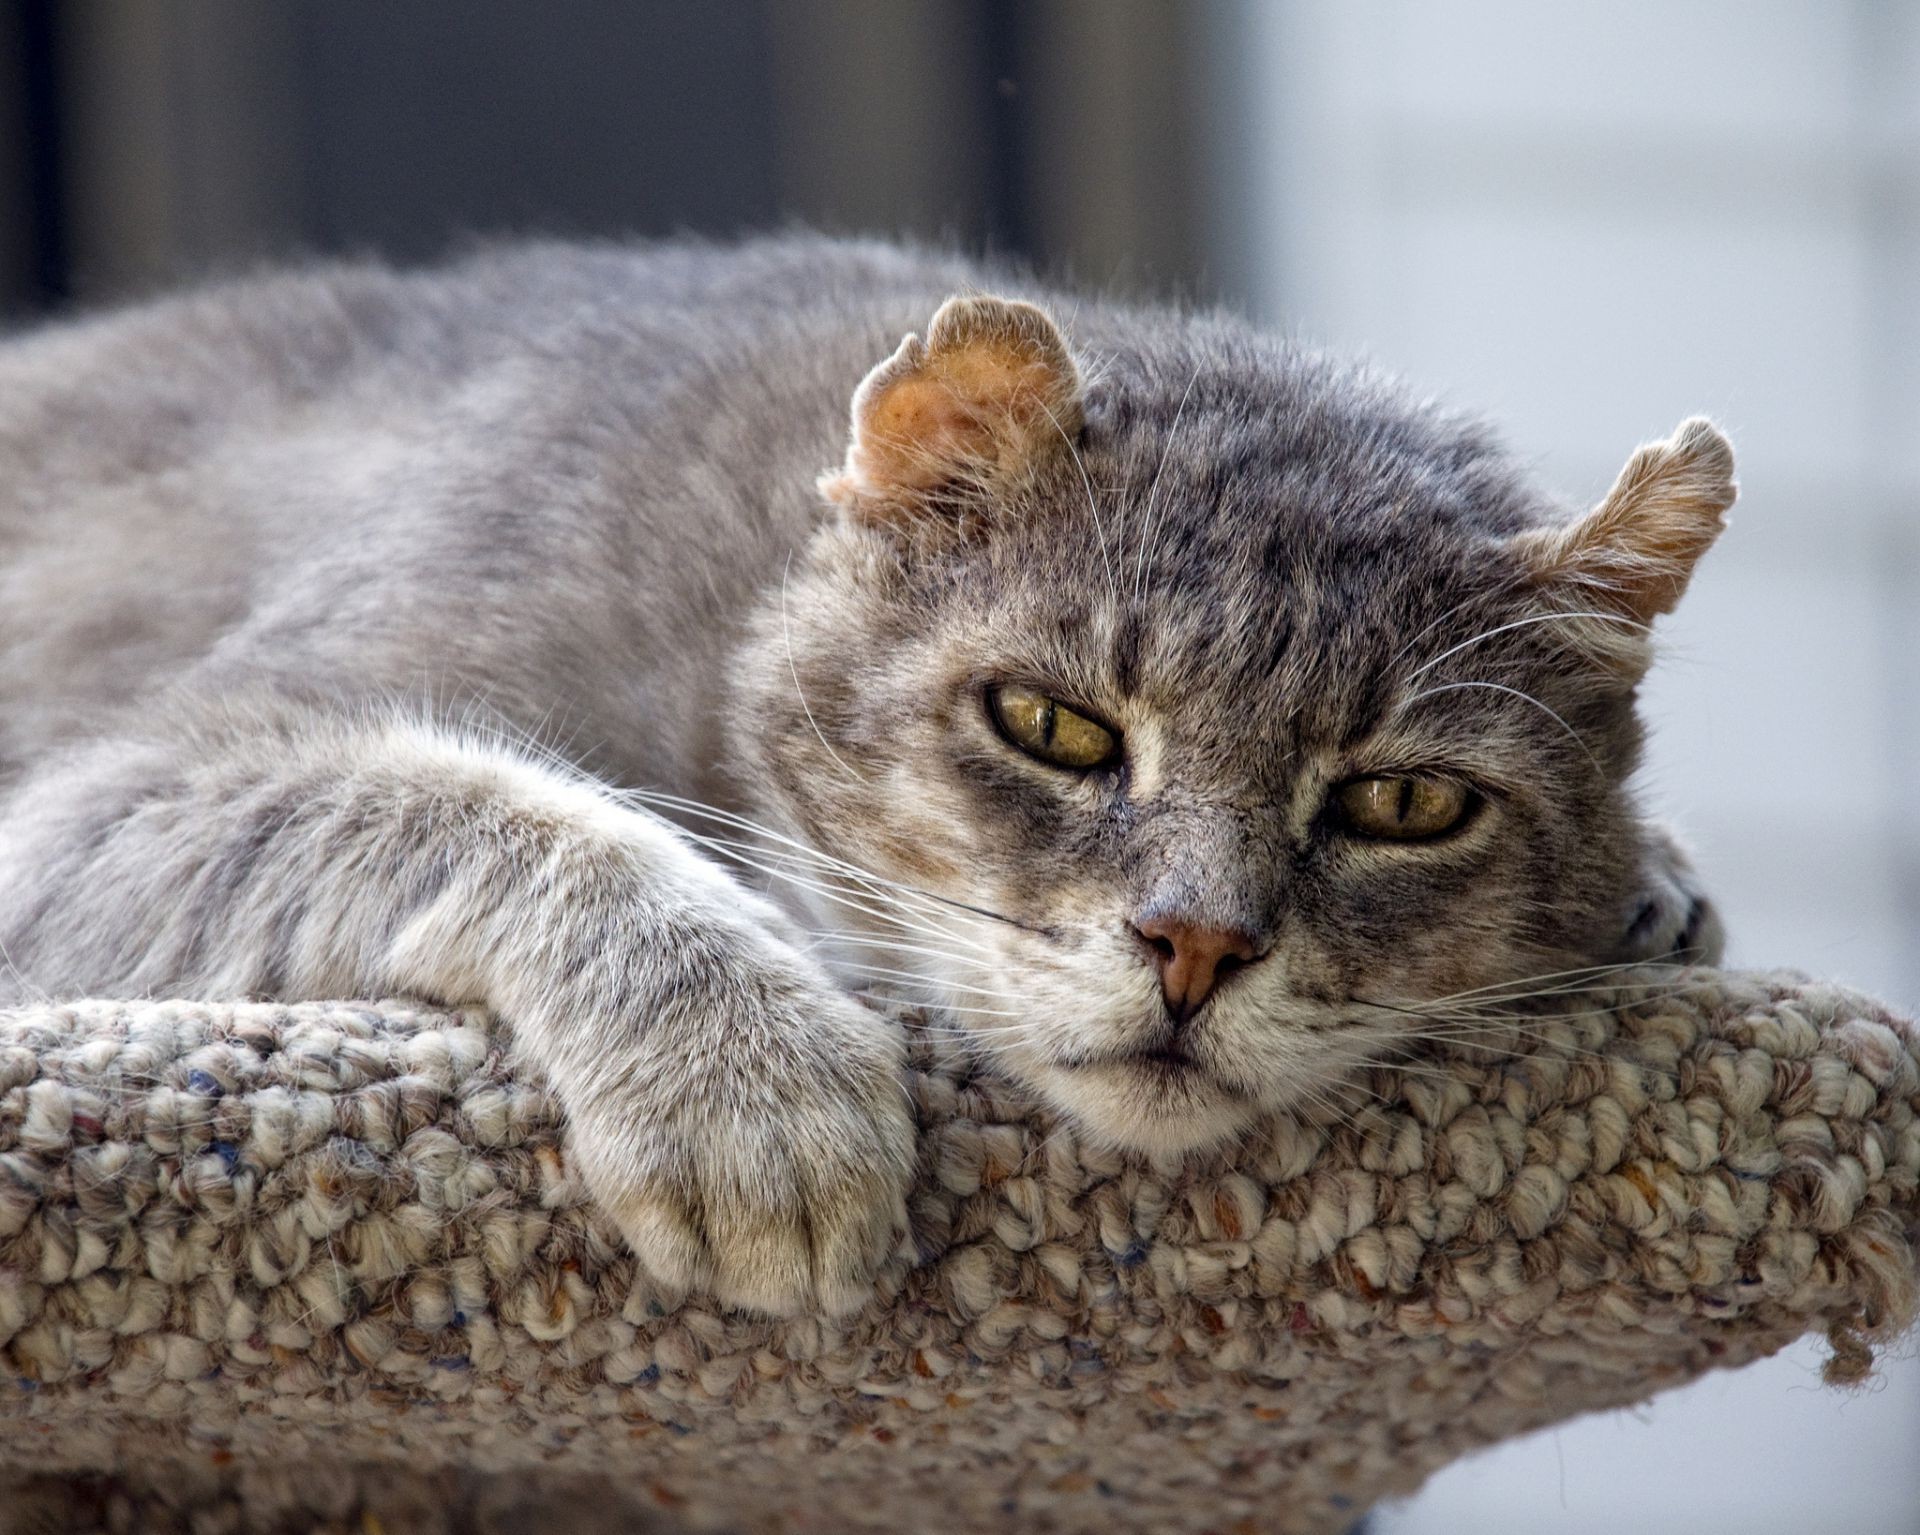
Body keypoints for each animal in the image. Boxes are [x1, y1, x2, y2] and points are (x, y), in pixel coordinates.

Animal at [0, 240, 1735, 1321]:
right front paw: (752, 1082)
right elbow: (505, 806)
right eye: (1054, 725)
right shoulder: (119, 787)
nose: (1197, 946)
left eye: (1404, 805)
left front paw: (1659, 885)